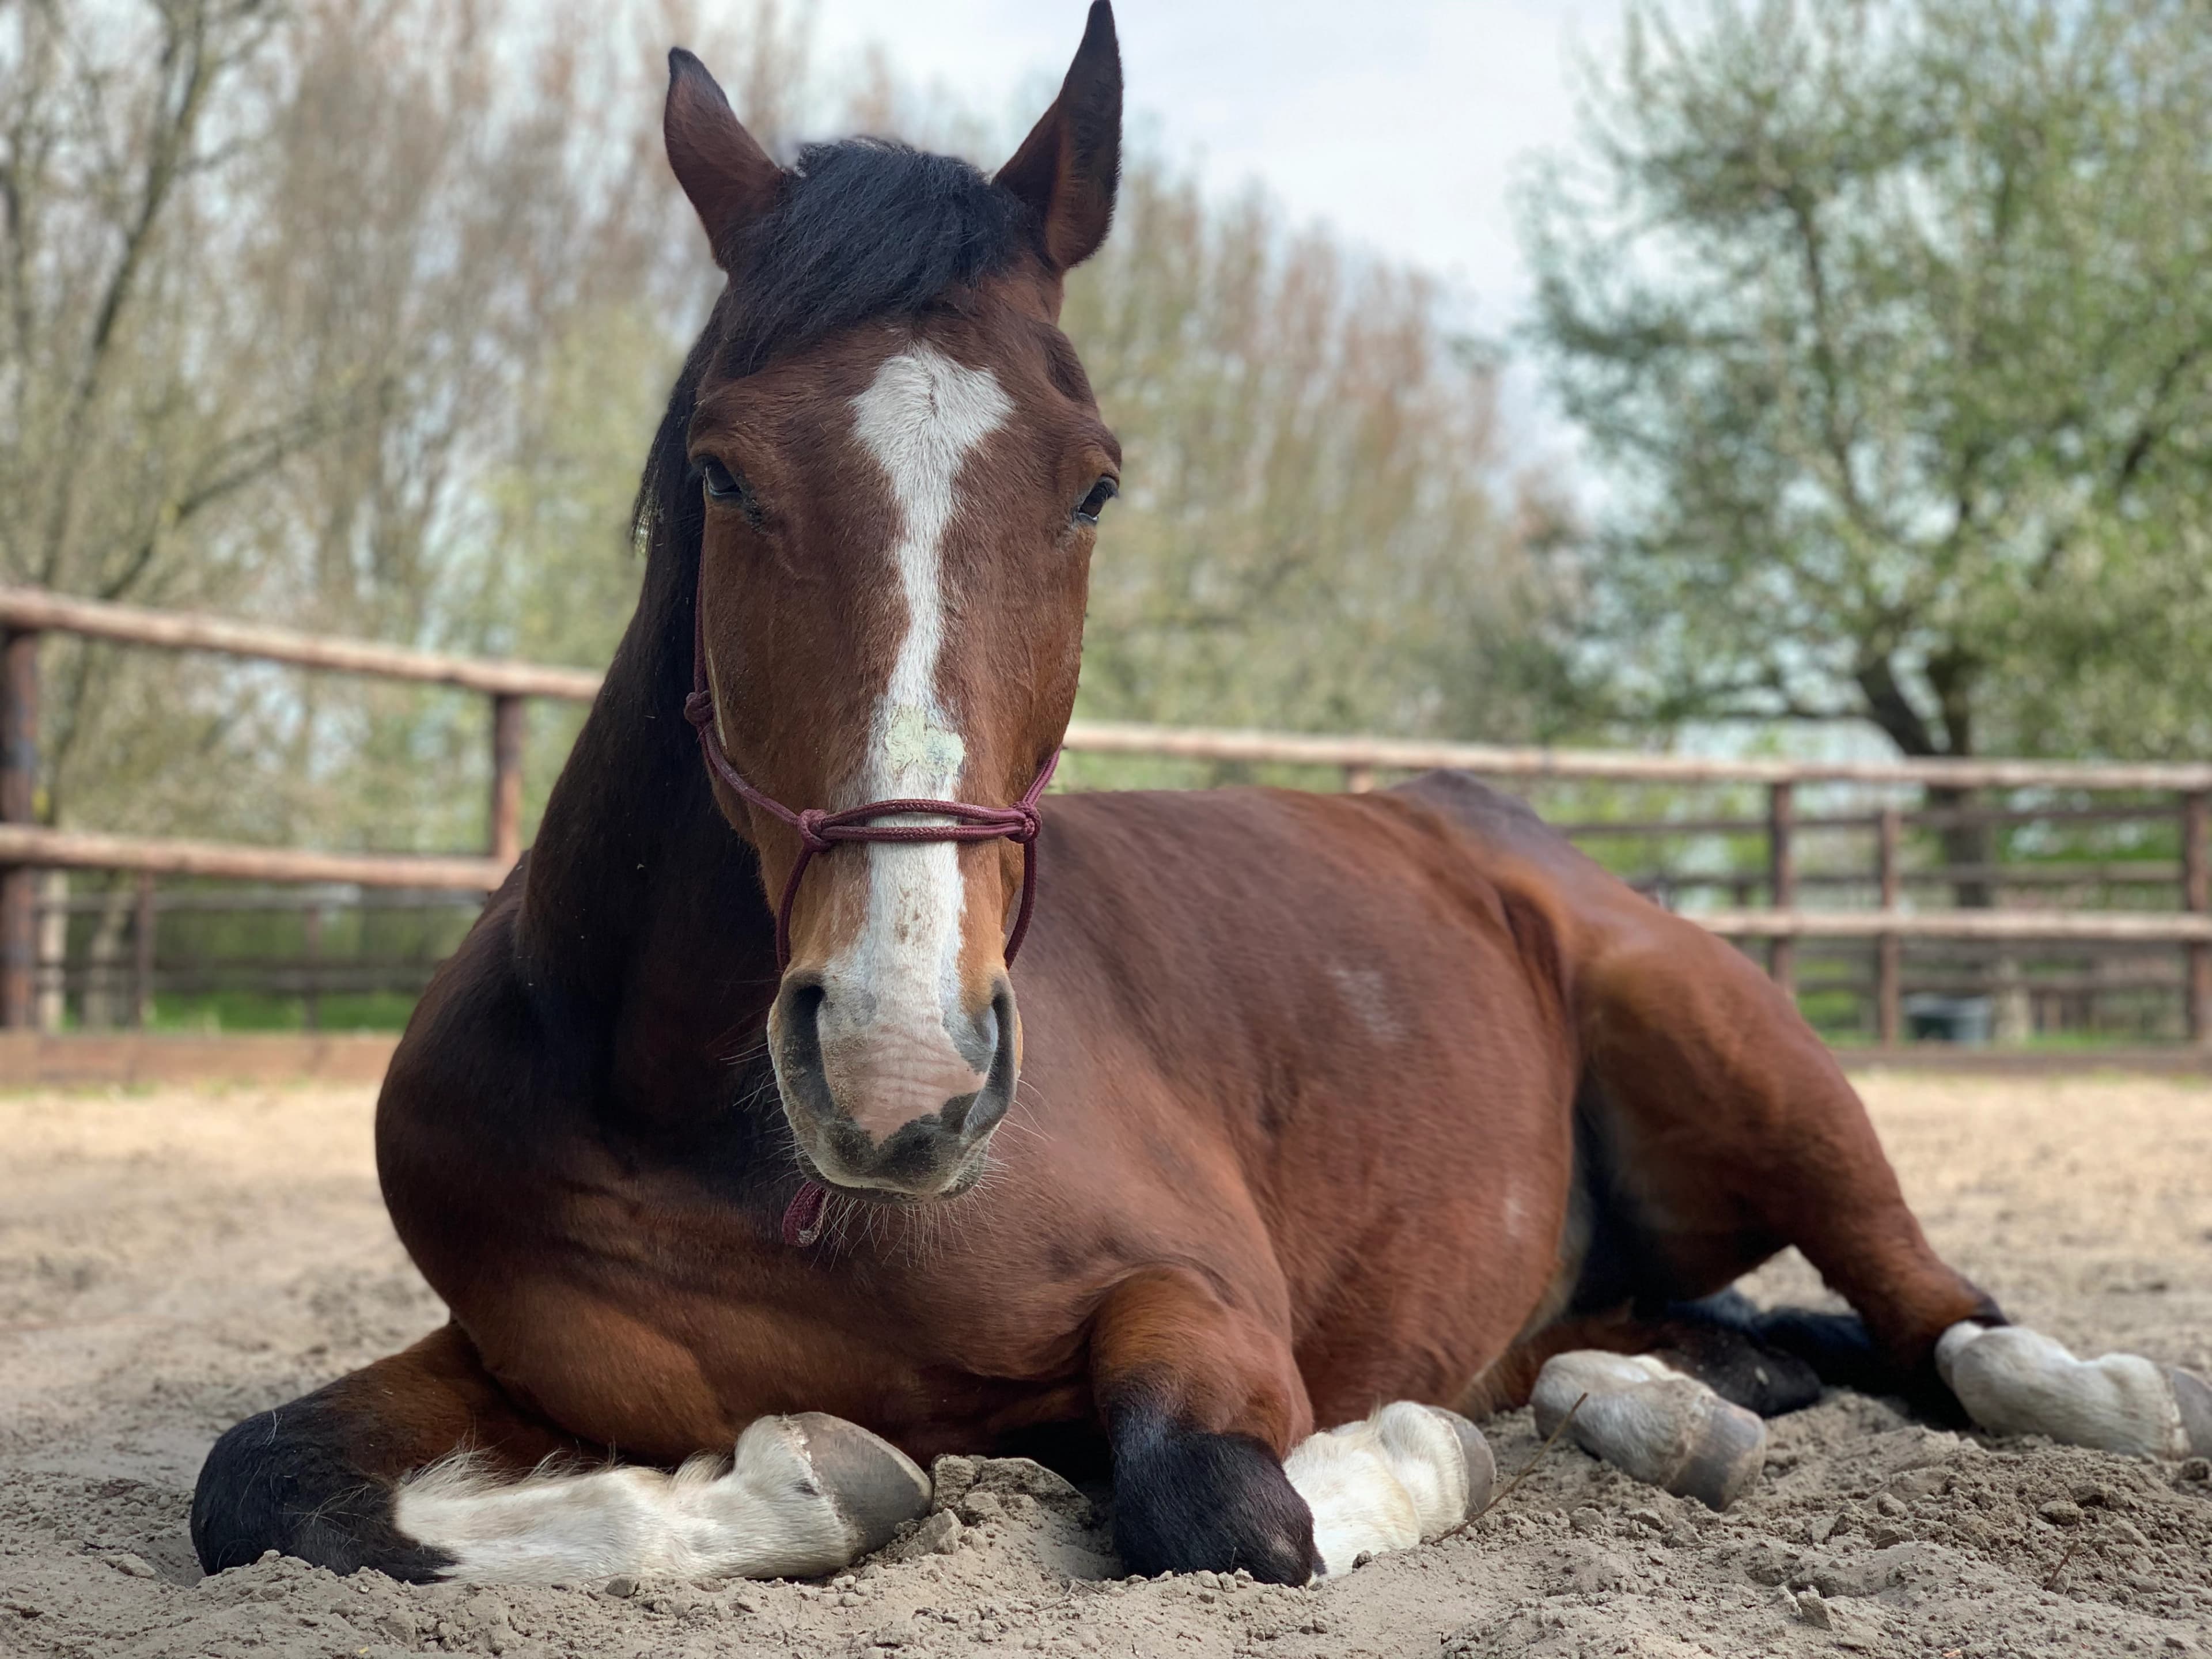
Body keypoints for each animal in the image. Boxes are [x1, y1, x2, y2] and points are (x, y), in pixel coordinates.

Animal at [190, 1, 2210, 1589]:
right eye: (722, 471)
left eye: (1090, 485)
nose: (899, 1075)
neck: (696, 1126)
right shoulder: (508, 1369)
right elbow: (259, 1484)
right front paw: (801, 1477)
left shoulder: (1200, 1307)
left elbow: (1224, 1500)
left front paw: (1413, 1448)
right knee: (1713, 1334)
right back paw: (1651, 1407)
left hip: (1744, 1047)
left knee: (1930, 1309)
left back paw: (2103, 1394)